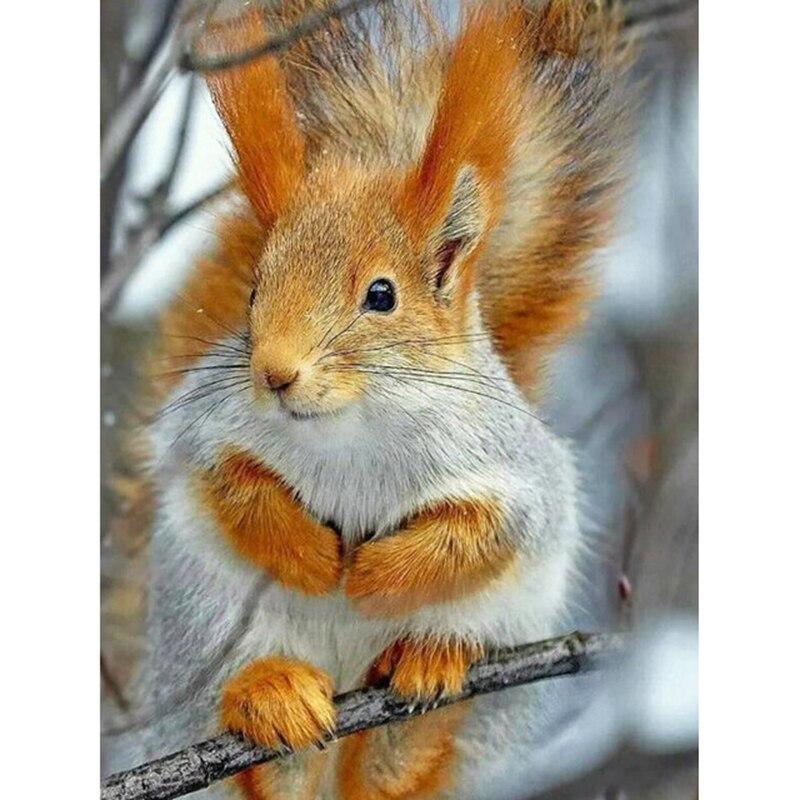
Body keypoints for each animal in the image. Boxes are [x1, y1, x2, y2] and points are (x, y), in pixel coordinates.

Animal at [136, 1, 631, 798]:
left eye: (381, 296)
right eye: (255, 288)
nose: (274, 373)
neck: (352, 428)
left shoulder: (517, 473)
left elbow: (486, 530)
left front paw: (373, 576)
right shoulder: (202, 425)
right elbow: (230, 482)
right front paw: (312, 558)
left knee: (400, 768)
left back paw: (423, 678)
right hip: (201, 623)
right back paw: (274, 699)